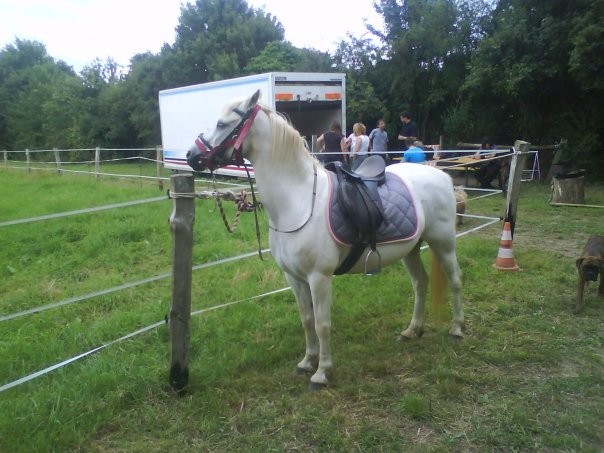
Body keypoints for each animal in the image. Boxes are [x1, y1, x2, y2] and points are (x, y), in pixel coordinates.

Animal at [186, 91, 464, 388]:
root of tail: (441, 175)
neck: (298, 200)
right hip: (411, 249)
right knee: (420, 283)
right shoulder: (294, 278)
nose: (191, 155)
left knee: (455, 280)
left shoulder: (318, 277)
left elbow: (322, 324)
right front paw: (307, 362)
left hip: (443, 243)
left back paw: (457, 329)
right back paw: (412, 330)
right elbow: (307, 320)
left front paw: (322, 372)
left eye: (222, 123)